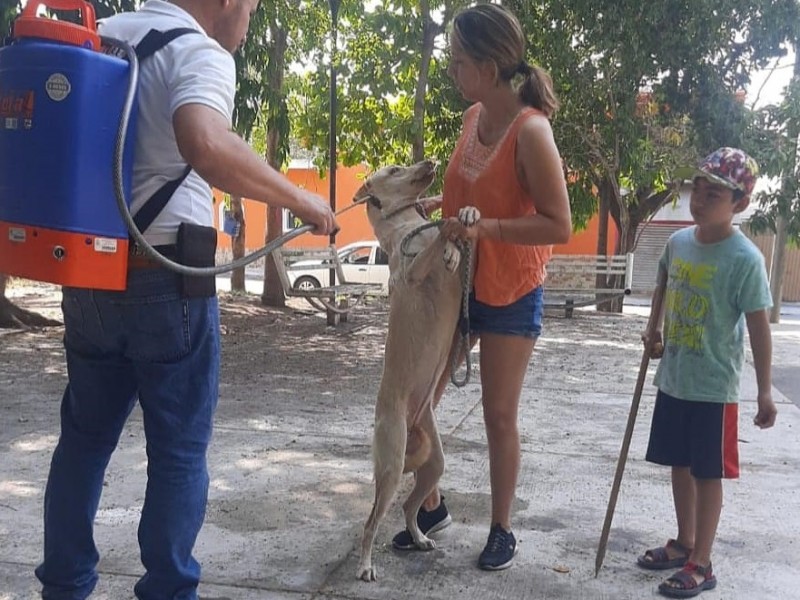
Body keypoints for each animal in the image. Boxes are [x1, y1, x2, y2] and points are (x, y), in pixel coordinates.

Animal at [352, 159, 478, 580]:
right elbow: (432, 248)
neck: (406, 224)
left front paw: (462, 226)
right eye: (394, 168)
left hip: (434, 463)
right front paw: (448, 240)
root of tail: (411, 421)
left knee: (409, 507)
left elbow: (452, 235)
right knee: (371, 521)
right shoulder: (411, 271)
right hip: (391, 466)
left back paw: (420, 539)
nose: (432, 162)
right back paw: (365, 565)